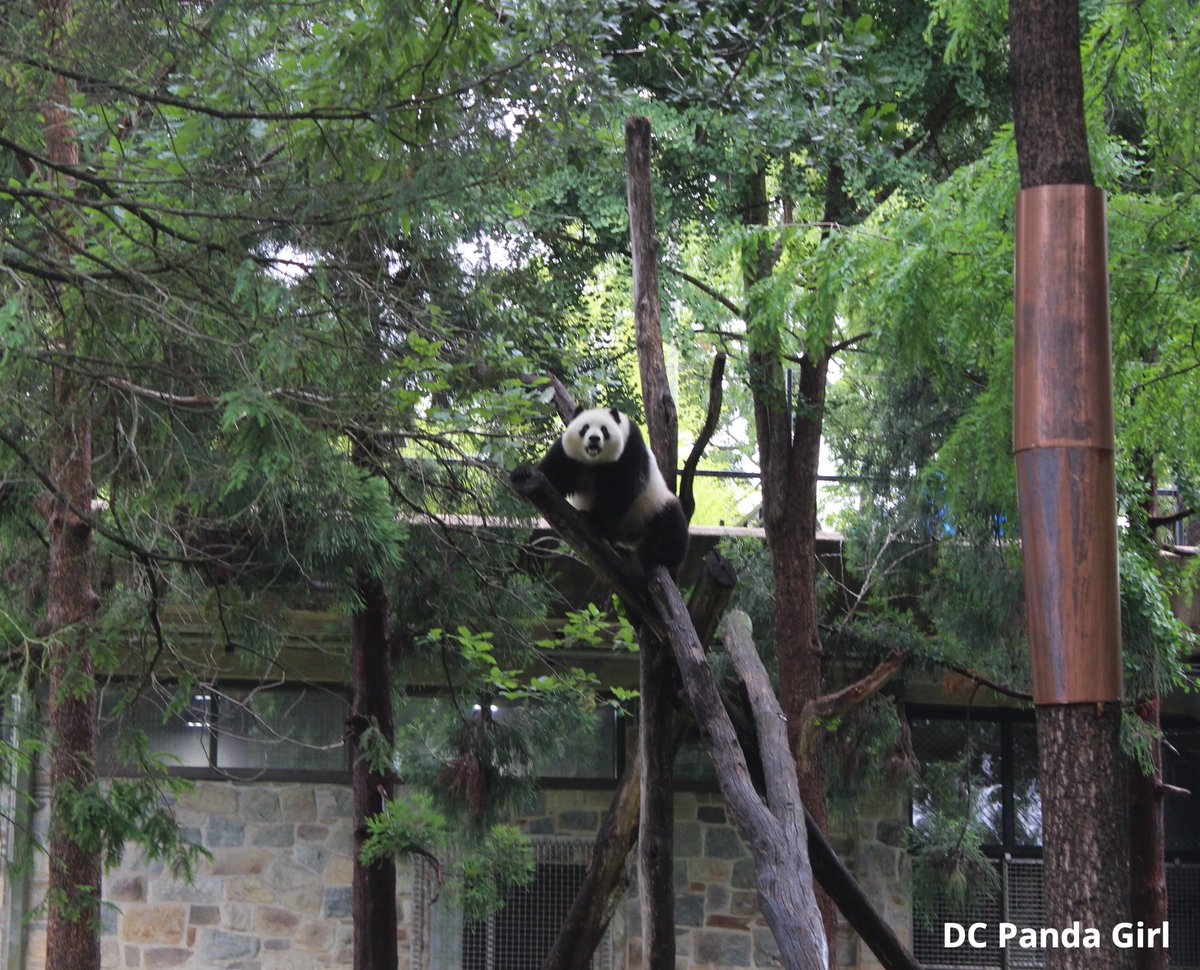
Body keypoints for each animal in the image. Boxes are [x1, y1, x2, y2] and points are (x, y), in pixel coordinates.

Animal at [538, 407, 689, 577]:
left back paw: (659, 557)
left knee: (672, 526)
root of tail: (628, 536)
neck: (594, 462)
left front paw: (592, 519)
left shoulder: (629, 449)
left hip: (652, 507)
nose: (594, 438)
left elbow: (620, 489)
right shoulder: (568, 454)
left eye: (604, 430)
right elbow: (555, 471)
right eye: (585, 428)